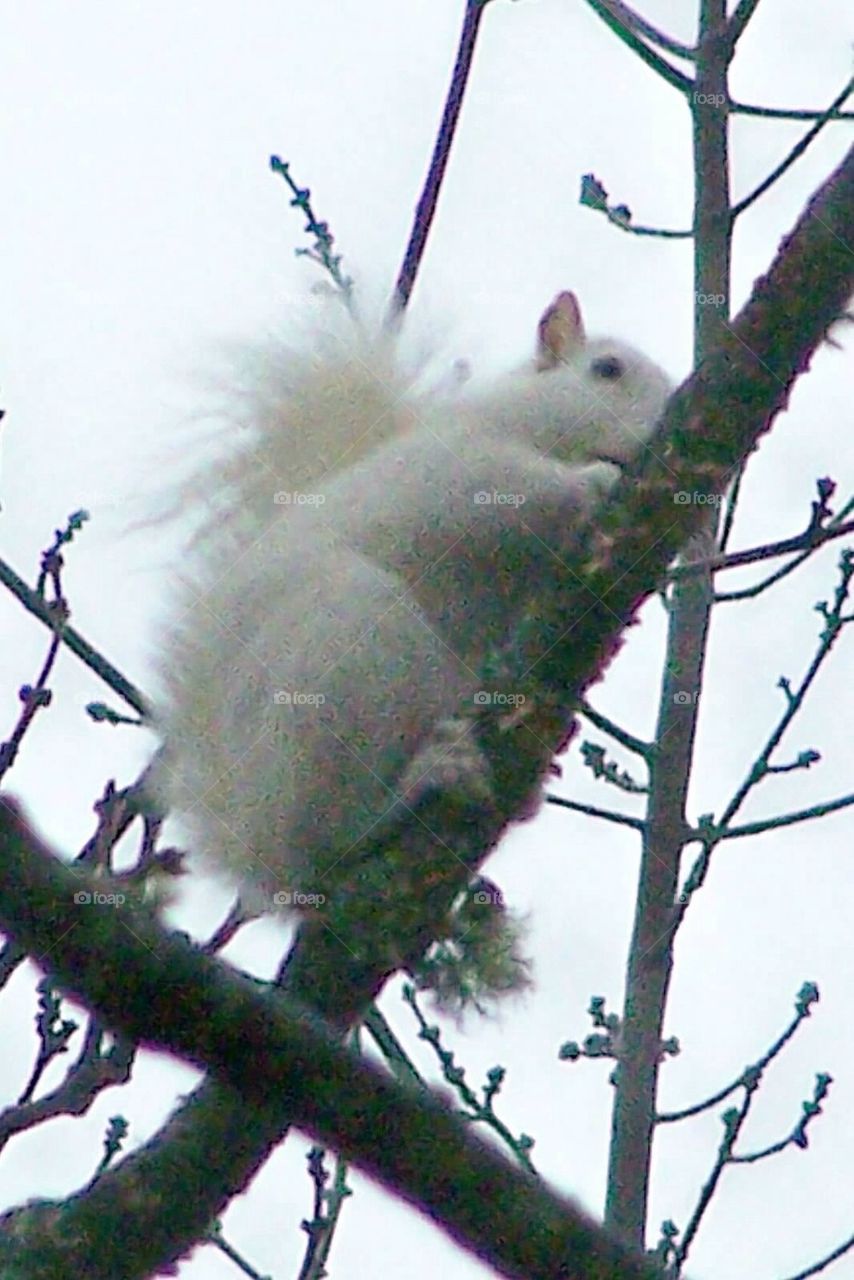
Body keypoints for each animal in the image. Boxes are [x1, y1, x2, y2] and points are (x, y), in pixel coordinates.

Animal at [155, 293, 676, 921]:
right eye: (607, 370)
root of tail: (254, 849)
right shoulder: (454, 472)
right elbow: (510, 493)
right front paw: (593, 481)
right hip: (345, 649)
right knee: (333, 838)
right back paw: (421, 783)